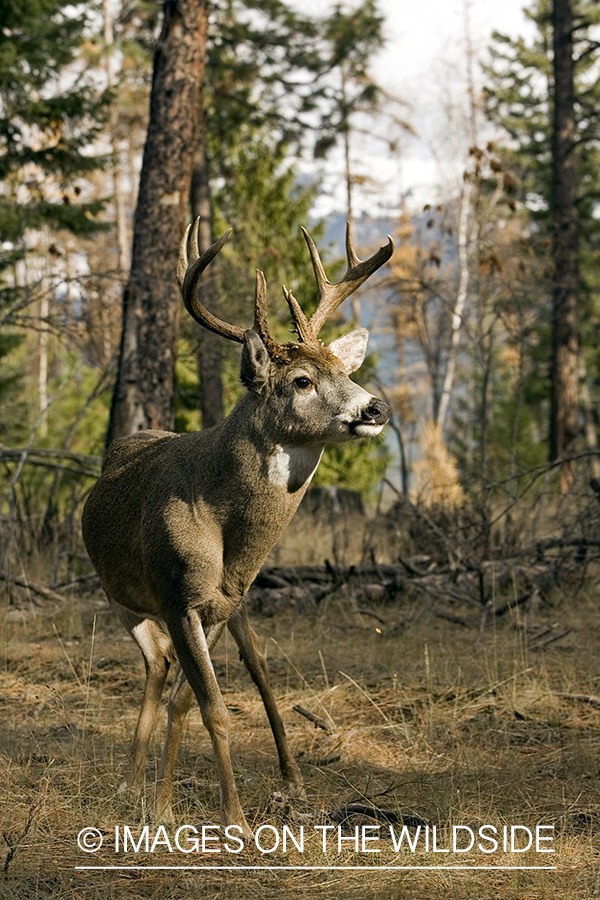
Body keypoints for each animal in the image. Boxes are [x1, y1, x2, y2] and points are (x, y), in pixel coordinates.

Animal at [83, 218, 394, 836]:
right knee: (156, 663)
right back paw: (128, 784)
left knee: (218, 667)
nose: (375, 408)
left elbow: (193, 700)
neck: (225, 533)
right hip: (121, 597)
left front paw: (169, 805)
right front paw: (234, 819)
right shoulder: (178, 596)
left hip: (221, 605)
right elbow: (213, 707)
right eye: (301, 381)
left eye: (344, 370)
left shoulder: (221, 604)